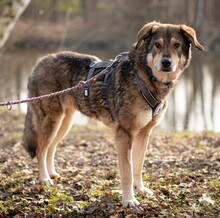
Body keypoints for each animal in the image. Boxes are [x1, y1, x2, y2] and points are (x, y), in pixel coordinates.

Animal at [21, 21, 203, 207]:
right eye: (157, 45)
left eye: (176, 45)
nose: (166, 63)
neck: (145, 78)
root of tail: (40, 62)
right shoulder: (125, 134)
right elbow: (127, 172)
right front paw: (129, 200)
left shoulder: (144, 134)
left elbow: (138, 167)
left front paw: (140, 190)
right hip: (51, 121)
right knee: (41, 149)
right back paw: (44, 179)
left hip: (64, 123)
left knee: (51, 147)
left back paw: (52, 174)